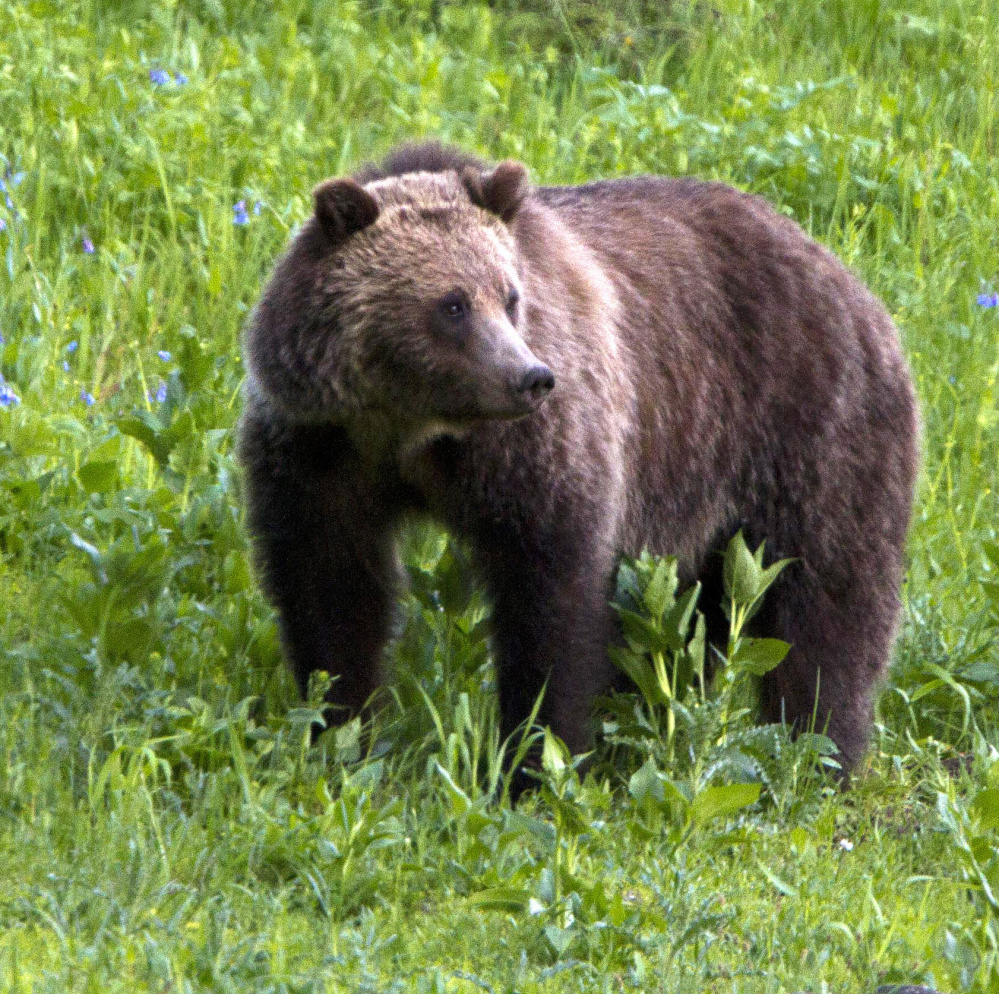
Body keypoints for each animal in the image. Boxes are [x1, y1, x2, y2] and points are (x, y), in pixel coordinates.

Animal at [236, 141, 920, 792]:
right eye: (453, 305)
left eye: (510, 296)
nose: (530, 377)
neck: (413, 429)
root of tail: (847, 276)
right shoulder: (321, 451)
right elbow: (331, 590)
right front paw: (339, 731)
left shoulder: (534, 455)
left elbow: (551, 600)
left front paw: (535, 761)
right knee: (697, 617)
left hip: (808, 430)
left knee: (829, 602)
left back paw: (820, 753)